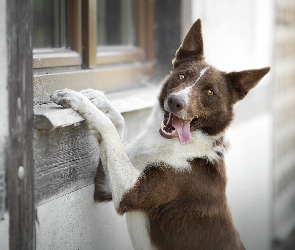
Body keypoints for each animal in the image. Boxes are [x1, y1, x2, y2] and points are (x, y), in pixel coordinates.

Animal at [51, 19, 270, 250]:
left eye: (210, 92)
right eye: (182, 76)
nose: (175, 102)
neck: (178, 147)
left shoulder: (129, 192)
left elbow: (108, 129)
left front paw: (78, 100)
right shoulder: (107, 185)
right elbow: (117, 125)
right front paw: (98, 99)